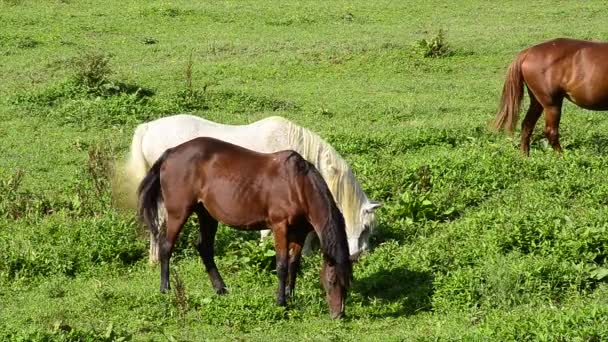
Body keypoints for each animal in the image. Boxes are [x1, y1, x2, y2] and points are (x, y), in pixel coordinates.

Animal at [137, 136, 352, 318]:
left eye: (347, 283)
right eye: (332, 281)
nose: (338, 314)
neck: (298, 185)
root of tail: (170, 152)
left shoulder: (299, 232)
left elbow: (293, 265)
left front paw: (290, 296)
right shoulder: (280, 226)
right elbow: (282, 265)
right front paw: (281, 302)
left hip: (207, 215)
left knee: (204, 248)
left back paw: (221, 289)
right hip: (178, 213)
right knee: (166, 247)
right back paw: (165, 288)